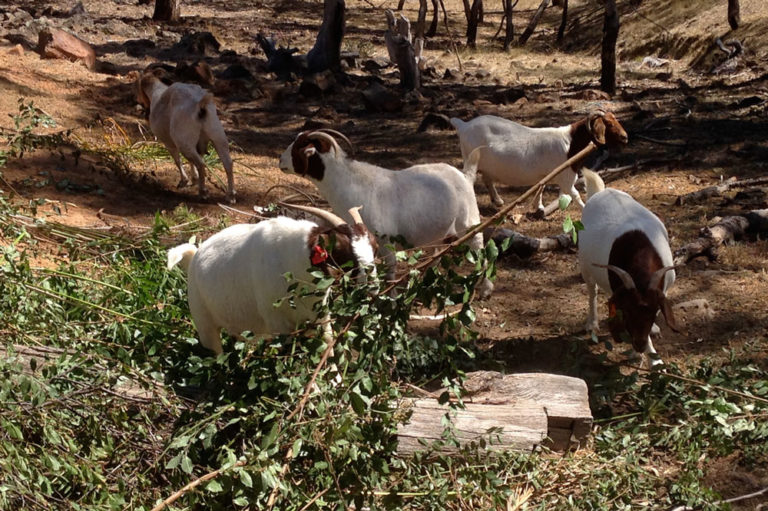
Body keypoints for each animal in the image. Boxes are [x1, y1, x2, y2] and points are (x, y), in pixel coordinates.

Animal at [136, 70, 236, 204]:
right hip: (217, 136)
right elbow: (192, 159)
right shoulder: (197, 144)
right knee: (227, 163)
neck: (157, 93)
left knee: (201, 164)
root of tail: (200, 107)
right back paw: (230, 196)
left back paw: (203, 193)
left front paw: (184, 180)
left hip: (184, 142)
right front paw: (194, 178)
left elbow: (177, 160)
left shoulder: (169, 143)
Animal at [167, 204, 377, 354]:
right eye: (341, 251)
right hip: (204, 324)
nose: (372, 289)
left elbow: (328, 344)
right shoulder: (278, 325)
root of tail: (194, 256)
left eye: (374, 248)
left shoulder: (319, 316)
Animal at [278, 129, 494, 299]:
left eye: (298, 147)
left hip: (469, 223)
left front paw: (389, 299)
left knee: (480, 250)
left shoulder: (385, 240)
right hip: (441, 231)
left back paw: (485, 290)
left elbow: (390, 271)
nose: (280, 161)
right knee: (439, 253)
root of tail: (465, 176)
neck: (352, 184)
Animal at [450, 111, 628, 213]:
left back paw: (498, 201)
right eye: (608, 124)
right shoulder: (566, 178)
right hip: (470, 159)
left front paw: (539, 206)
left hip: (485, 164)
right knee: (469, 179)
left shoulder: (547, 174)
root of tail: (464, 125)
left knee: (487, 179)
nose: (625, 137)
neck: (570, 143)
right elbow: (576, 195)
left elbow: (541, 186)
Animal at [578, 169, 680, 366]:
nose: (639, 345)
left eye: (653, 311)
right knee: (592, 290)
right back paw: (592, 323)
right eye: (628, 310)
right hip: (584, 264)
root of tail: (601, 192)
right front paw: (655, 362)